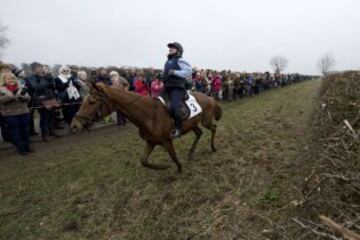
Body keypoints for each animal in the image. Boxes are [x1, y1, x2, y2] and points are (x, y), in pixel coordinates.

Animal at [69, 83, 222, 172]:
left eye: (91, 102)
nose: (74, 125)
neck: (148, 114)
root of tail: (209, 97)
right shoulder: (151, 141)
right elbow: (143, 161)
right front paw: (163, 167)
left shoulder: (167, 140)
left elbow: (173, 156)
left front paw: (179, 168)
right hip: (191, 124)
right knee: (199, 133)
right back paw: (191, 153)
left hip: (205, 120)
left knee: (213, 127)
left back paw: (213, 147)